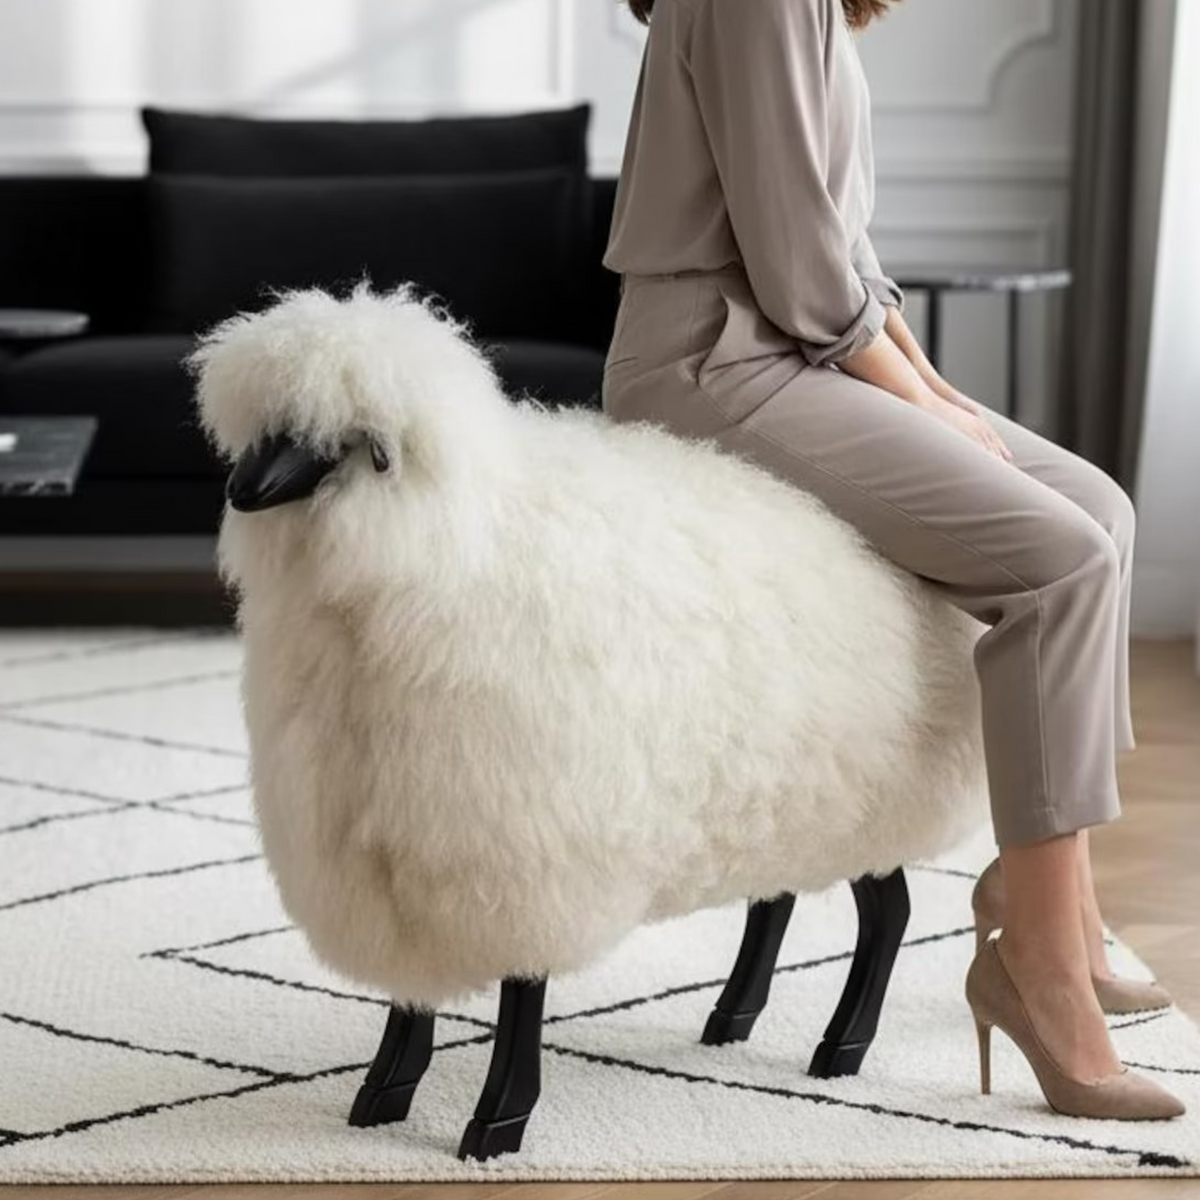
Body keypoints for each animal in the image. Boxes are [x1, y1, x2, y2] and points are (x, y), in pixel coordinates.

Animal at [190, 281, 992, 1162]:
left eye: (326, 442)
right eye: (266, 431)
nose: (241, 492)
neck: (440, 552)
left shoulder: (520, 841)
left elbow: (521, 991)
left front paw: (497, 1121)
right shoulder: (395, 841)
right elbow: (412, 993)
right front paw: (383, 1093)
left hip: (870, 795)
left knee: (890, 914)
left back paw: (841, 1046)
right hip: (776, 790)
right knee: (775, 900)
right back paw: (732, 1018)